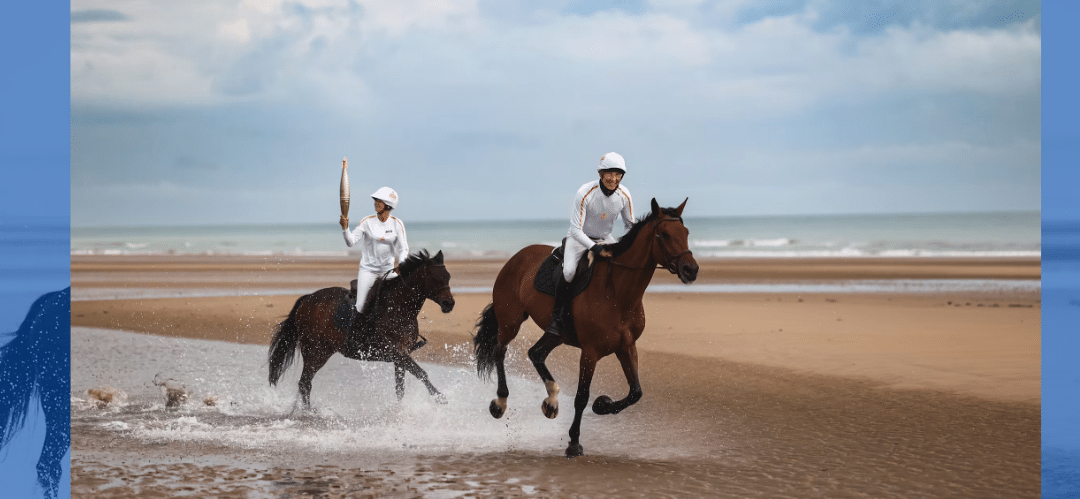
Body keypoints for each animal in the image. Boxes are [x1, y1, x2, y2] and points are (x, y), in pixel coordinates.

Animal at [272, 249, 457, 408]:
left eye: (448, 276)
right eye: (434, 278)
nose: (449, 304)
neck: (399, 309)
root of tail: (307, 299)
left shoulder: (401, 357)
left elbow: (400, 388)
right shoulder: (397, 353)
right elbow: (421, 373)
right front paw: (440, 397)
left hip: (322, 352)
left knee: (305, 384)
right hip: (315, 353)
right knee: (305, 383)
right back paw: (309, 414)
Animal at [475, 197, 699, 455]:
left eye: (686, 232)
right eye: (664, 234)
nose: (691, 270)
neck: (618, 294)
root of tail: (517, 257)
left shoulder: (626, 347)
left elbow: (636, 392)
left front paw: (603, 405)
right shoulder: (590, 352)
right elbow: (582, 396)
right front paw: (574, 443)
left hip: (557, 334)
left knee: (536, 353)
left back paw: (551, 401)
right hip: (510, 322)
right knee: (500, 352)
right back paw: (500, 403)